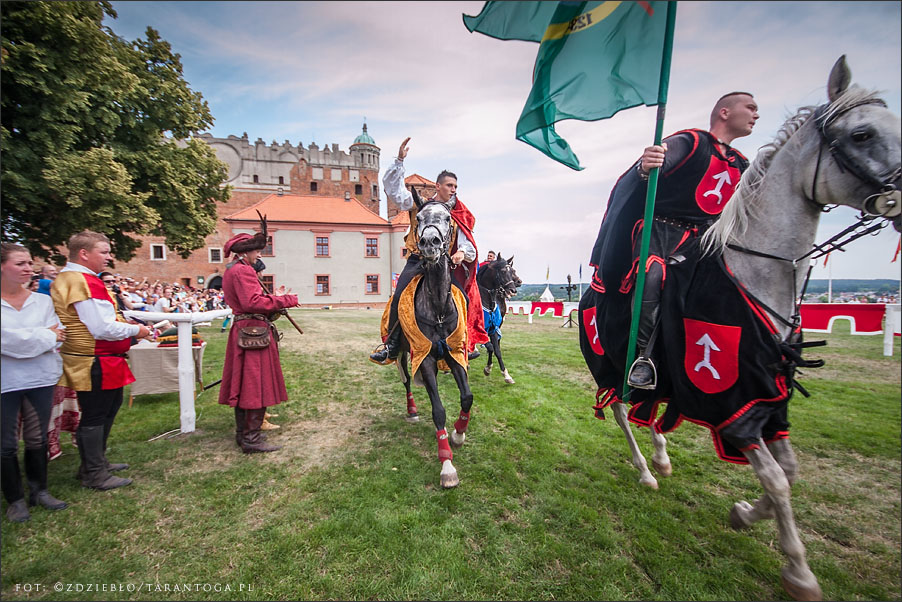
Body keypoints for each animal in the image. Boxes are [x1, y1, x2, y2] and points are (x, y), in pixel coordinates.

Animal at [393, 191, 475, 489]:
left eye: (448, 219)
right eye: (418, 218)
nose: (430, 243)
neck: (438, 308)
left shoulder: (455, 354)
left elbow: (467, 397)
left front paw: (458, 434)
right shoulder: (424, 357)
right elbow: (438, 410)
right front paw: (447, 465)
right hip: (403, 353)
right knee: (406, 380)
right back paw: (412, 410)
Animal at [476, 254, 522, 383]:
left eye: (512, 271)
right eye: (503, 271)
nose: (513, 289)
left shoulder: (493, 328)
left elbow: (496, 349)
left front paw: (505, 374)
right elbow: (491, 346)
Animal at [578, 56, 900, 601]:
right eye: (861, 134)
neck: (753, 275)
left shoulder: (769, 401)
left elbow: (789, 472)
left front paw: (747, 514)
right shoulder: (737, 406)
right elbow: (778, 479)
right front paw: (798, 569)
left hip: (668, 379)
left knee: (650, 411)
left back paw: (661, 458)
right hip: (613, 368)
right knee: (623, 411)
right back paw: (646, 471)